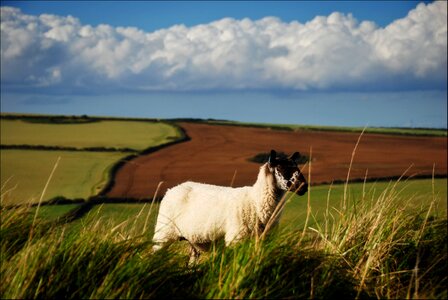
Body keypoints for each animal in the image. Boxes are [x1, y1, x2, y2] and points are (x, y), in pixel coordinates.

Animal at [152, 149, 306, 262]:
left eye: (296, 166)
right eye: (280, 168)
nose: (303, 186)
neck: (255, 201)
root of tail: (172, 189)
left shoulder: (264, 240)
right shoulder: (236, 239)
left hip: (193, 241)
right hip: (163, 234)